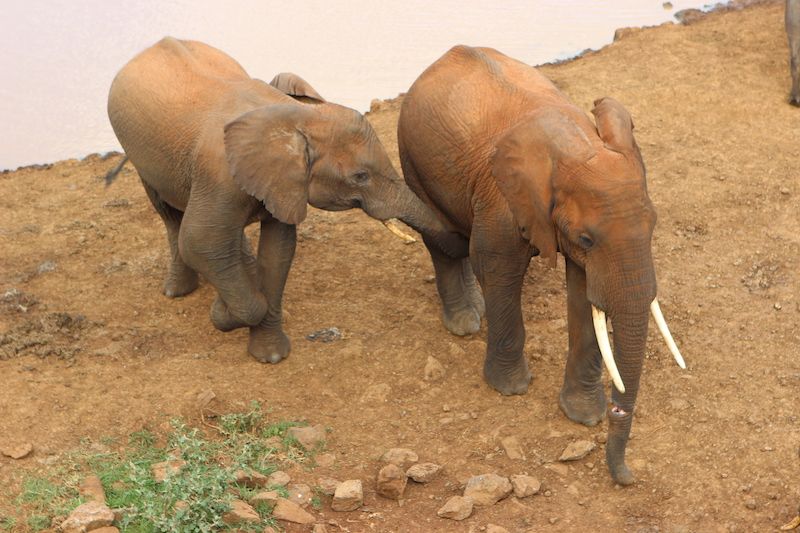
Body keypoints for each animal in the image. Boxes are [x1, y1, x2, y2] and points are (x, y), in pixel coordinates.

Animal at [108, 36, 466, 362]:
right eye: (360, 177)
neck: (293, 116)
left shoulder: (281, 182)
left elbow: (278, 252)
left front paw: (269, 355)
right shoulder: (219, 175)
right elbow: (200, 242)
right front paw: (222, 312)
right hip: (136, 151)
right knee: (170, 216)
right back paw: (179, 291)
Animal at [396, 46, 684, 486]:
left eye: (654, 225)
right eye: (587, 239)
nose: (628, 476)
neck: (576, 144)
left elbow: (584, 293)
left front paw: (583, 416)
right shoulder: (501, 199)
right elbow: (498, 269)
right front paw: (511, 389)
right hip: (411, 157)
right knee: (445, 237)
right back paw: (465, 323)